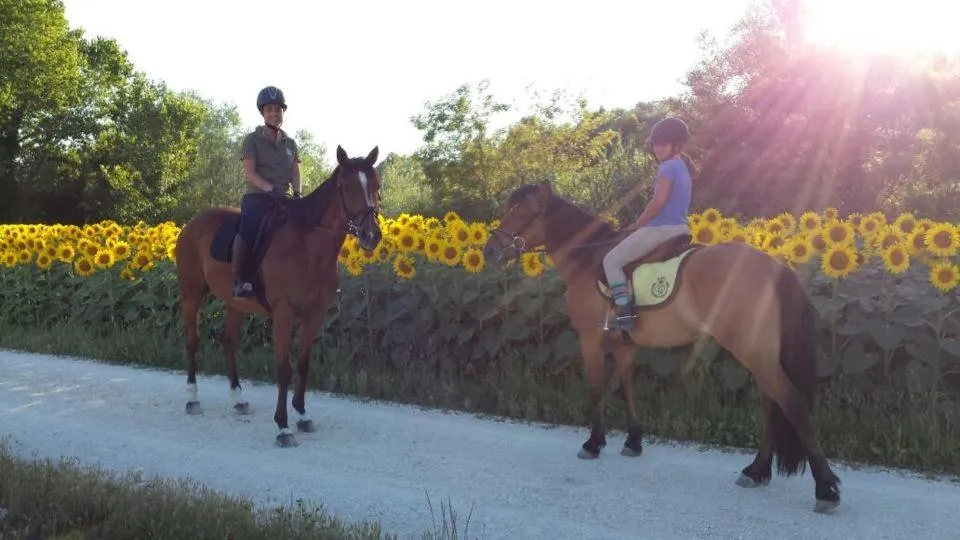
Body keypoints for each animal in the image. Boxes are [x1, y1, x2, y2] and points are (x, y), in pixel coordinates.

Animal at [173, 145, 383, 448]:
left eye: (376, 185)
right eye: (346, 186)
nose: (371, 236)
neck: (308, 247)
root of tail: (191, 225)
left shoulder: (315, 314)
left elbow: (304, 365)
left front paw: (302, 414)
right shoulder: (283, 313)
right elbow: (284, 368)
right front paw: (283, 427)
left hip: (235, 302)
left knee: (228, 341)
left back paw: (238, 399)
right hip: (192, 293)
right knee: (192, 341)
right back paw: (192, 398)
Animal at [482, 182, 841, 514]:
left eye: (520, 212)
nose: (488, 251)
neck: (588, 259)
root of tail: (774, 266)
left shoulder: (590, 338)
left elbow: (596, 388)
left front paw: (594, 443)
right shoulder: (623, 344)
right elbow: (626, 387)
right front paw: (633, 441)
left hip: (753, 350)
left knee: (791, 403)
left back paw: (825, 489)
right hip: (759, 351)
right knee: (771, 404)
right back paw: (756, 471)